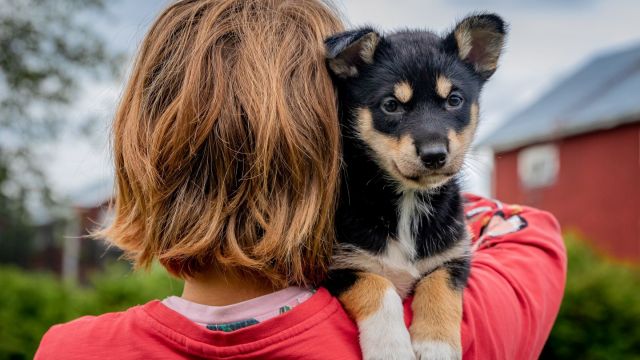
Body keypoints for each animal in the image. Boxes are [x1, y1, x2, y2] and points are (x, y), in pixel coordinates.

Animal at [328, 14, 508, 360]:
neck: (407, 202)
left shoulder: (453, 256)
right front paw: (390, 348)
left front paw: (436, 344)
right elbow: (378, 287)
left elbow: (438, 286)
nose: (434, 155)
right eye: (391, 105)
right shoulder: (337, 265)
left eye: (454, 100)